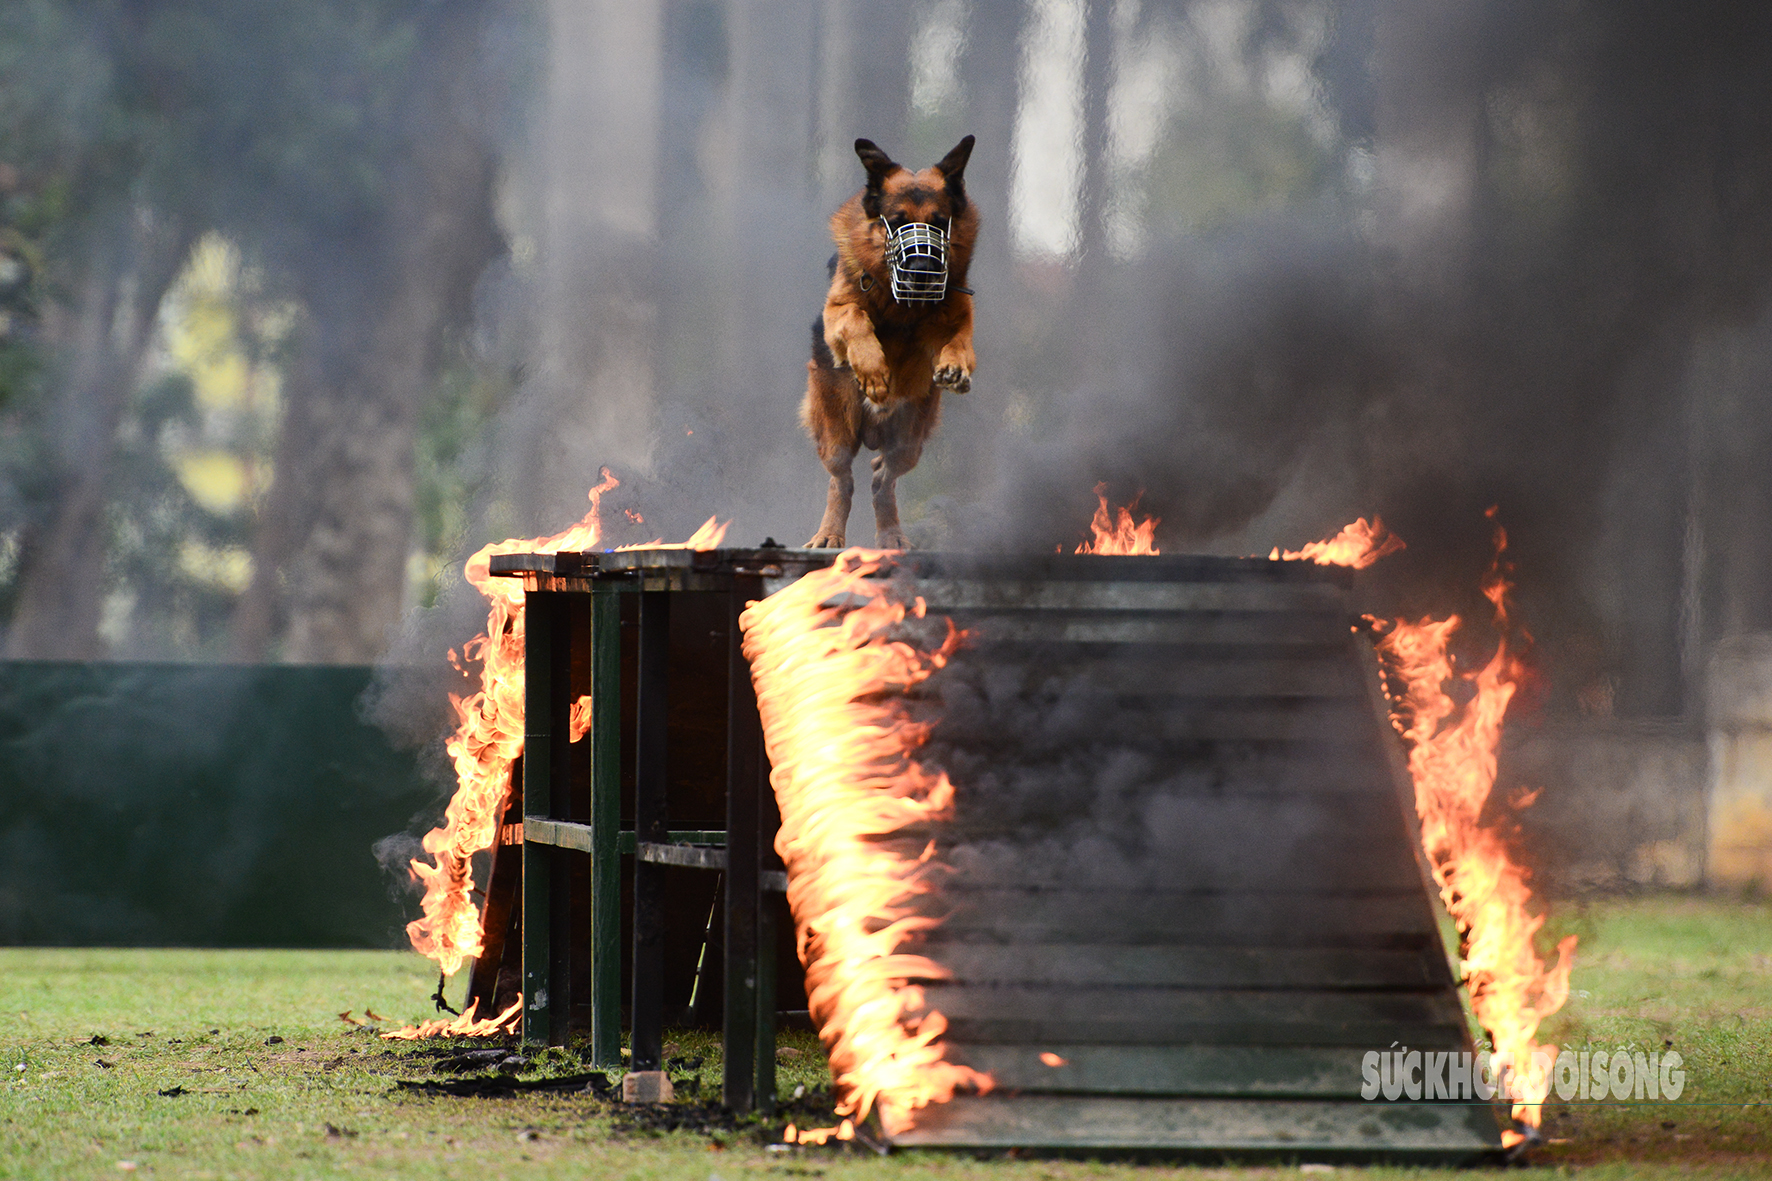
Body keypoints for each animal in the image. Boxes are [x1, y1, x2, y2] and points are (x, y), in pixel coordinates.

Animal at [808, 135, 985, 549]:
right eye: (899, 221)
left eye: (938, 222)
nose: (921, 269)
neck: (903, 305)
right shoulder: (838, 310)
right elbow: (856, 319)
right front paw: (873, 371)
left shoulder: (956, 320)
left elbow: (958, 342)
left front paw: (954, 368)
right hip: (837, 433)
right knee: (841, 481)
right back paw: (829, 533)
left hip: (909, 441)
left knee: (881, 477)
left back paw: (891, 536)